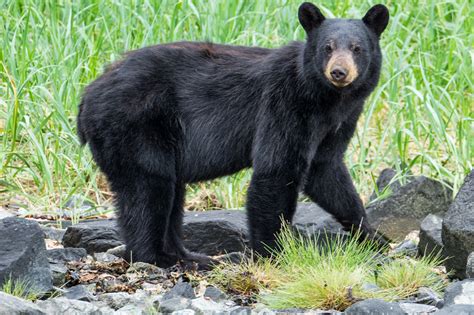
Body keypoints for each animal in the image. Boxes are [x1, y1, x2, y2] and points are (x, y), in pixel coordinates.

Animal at [77, 2, 388, 270]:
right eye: (327, 47)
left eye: (357, 48)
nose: (339, 72)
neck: (327, 99)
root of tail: (87, 96)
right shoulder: (285, 105)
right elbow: (276, 170)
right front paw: (273, 252)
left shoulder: (338, 122)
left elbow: (327, 172)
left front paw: (373, 236)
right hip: (136, 126)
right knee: (148, 188)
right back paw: (158, 257)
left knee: (170, 192)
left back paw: (188, 255)